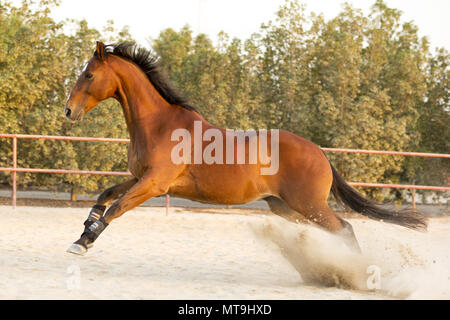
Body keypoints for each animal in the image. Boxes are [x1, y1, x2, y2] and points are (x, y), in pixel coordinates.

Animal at [64, 42, 426, 255]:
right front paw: (83, 232)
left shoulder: (154, 184)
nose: (68, 110)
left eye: (89, 74)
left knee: (345, 229)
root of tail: (321, 154)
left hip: (308, 206)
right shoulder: (140, 178)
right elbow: (104, 197)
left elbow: (115, 208)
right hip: (288, 208)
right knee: (337, 231)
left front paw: (83, 243)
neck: (159, 124)